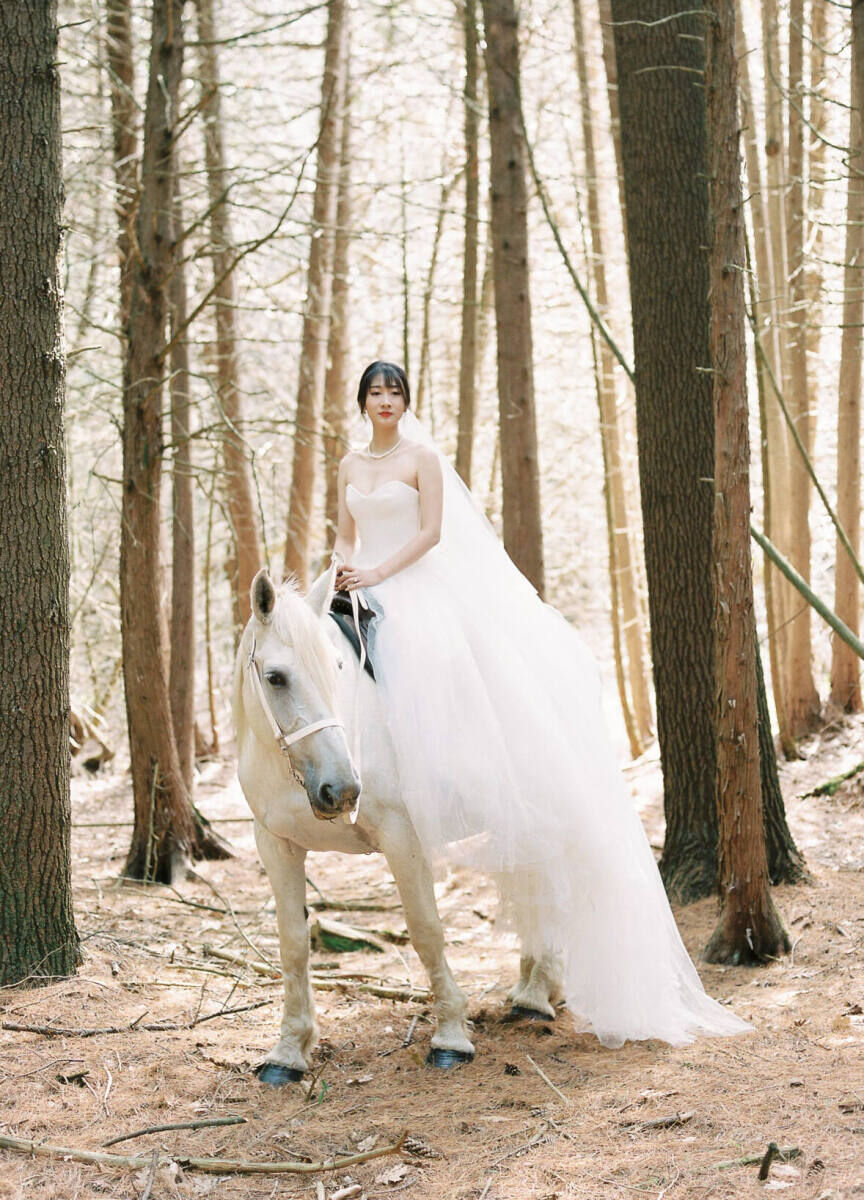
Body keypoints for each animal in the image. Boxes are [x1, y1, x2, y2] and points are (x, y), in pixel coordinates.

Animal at [232, 566, 564, 1084]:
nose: (343, 789)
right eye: (275, 678)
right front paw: (289, 1050)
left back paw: (538, 991)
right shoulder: (275, 844)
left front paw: (451, 1037)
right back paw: (533, 988)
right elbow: (293, 945)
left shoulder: (401, 835)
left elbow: (425, 928)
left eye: (338, 668)